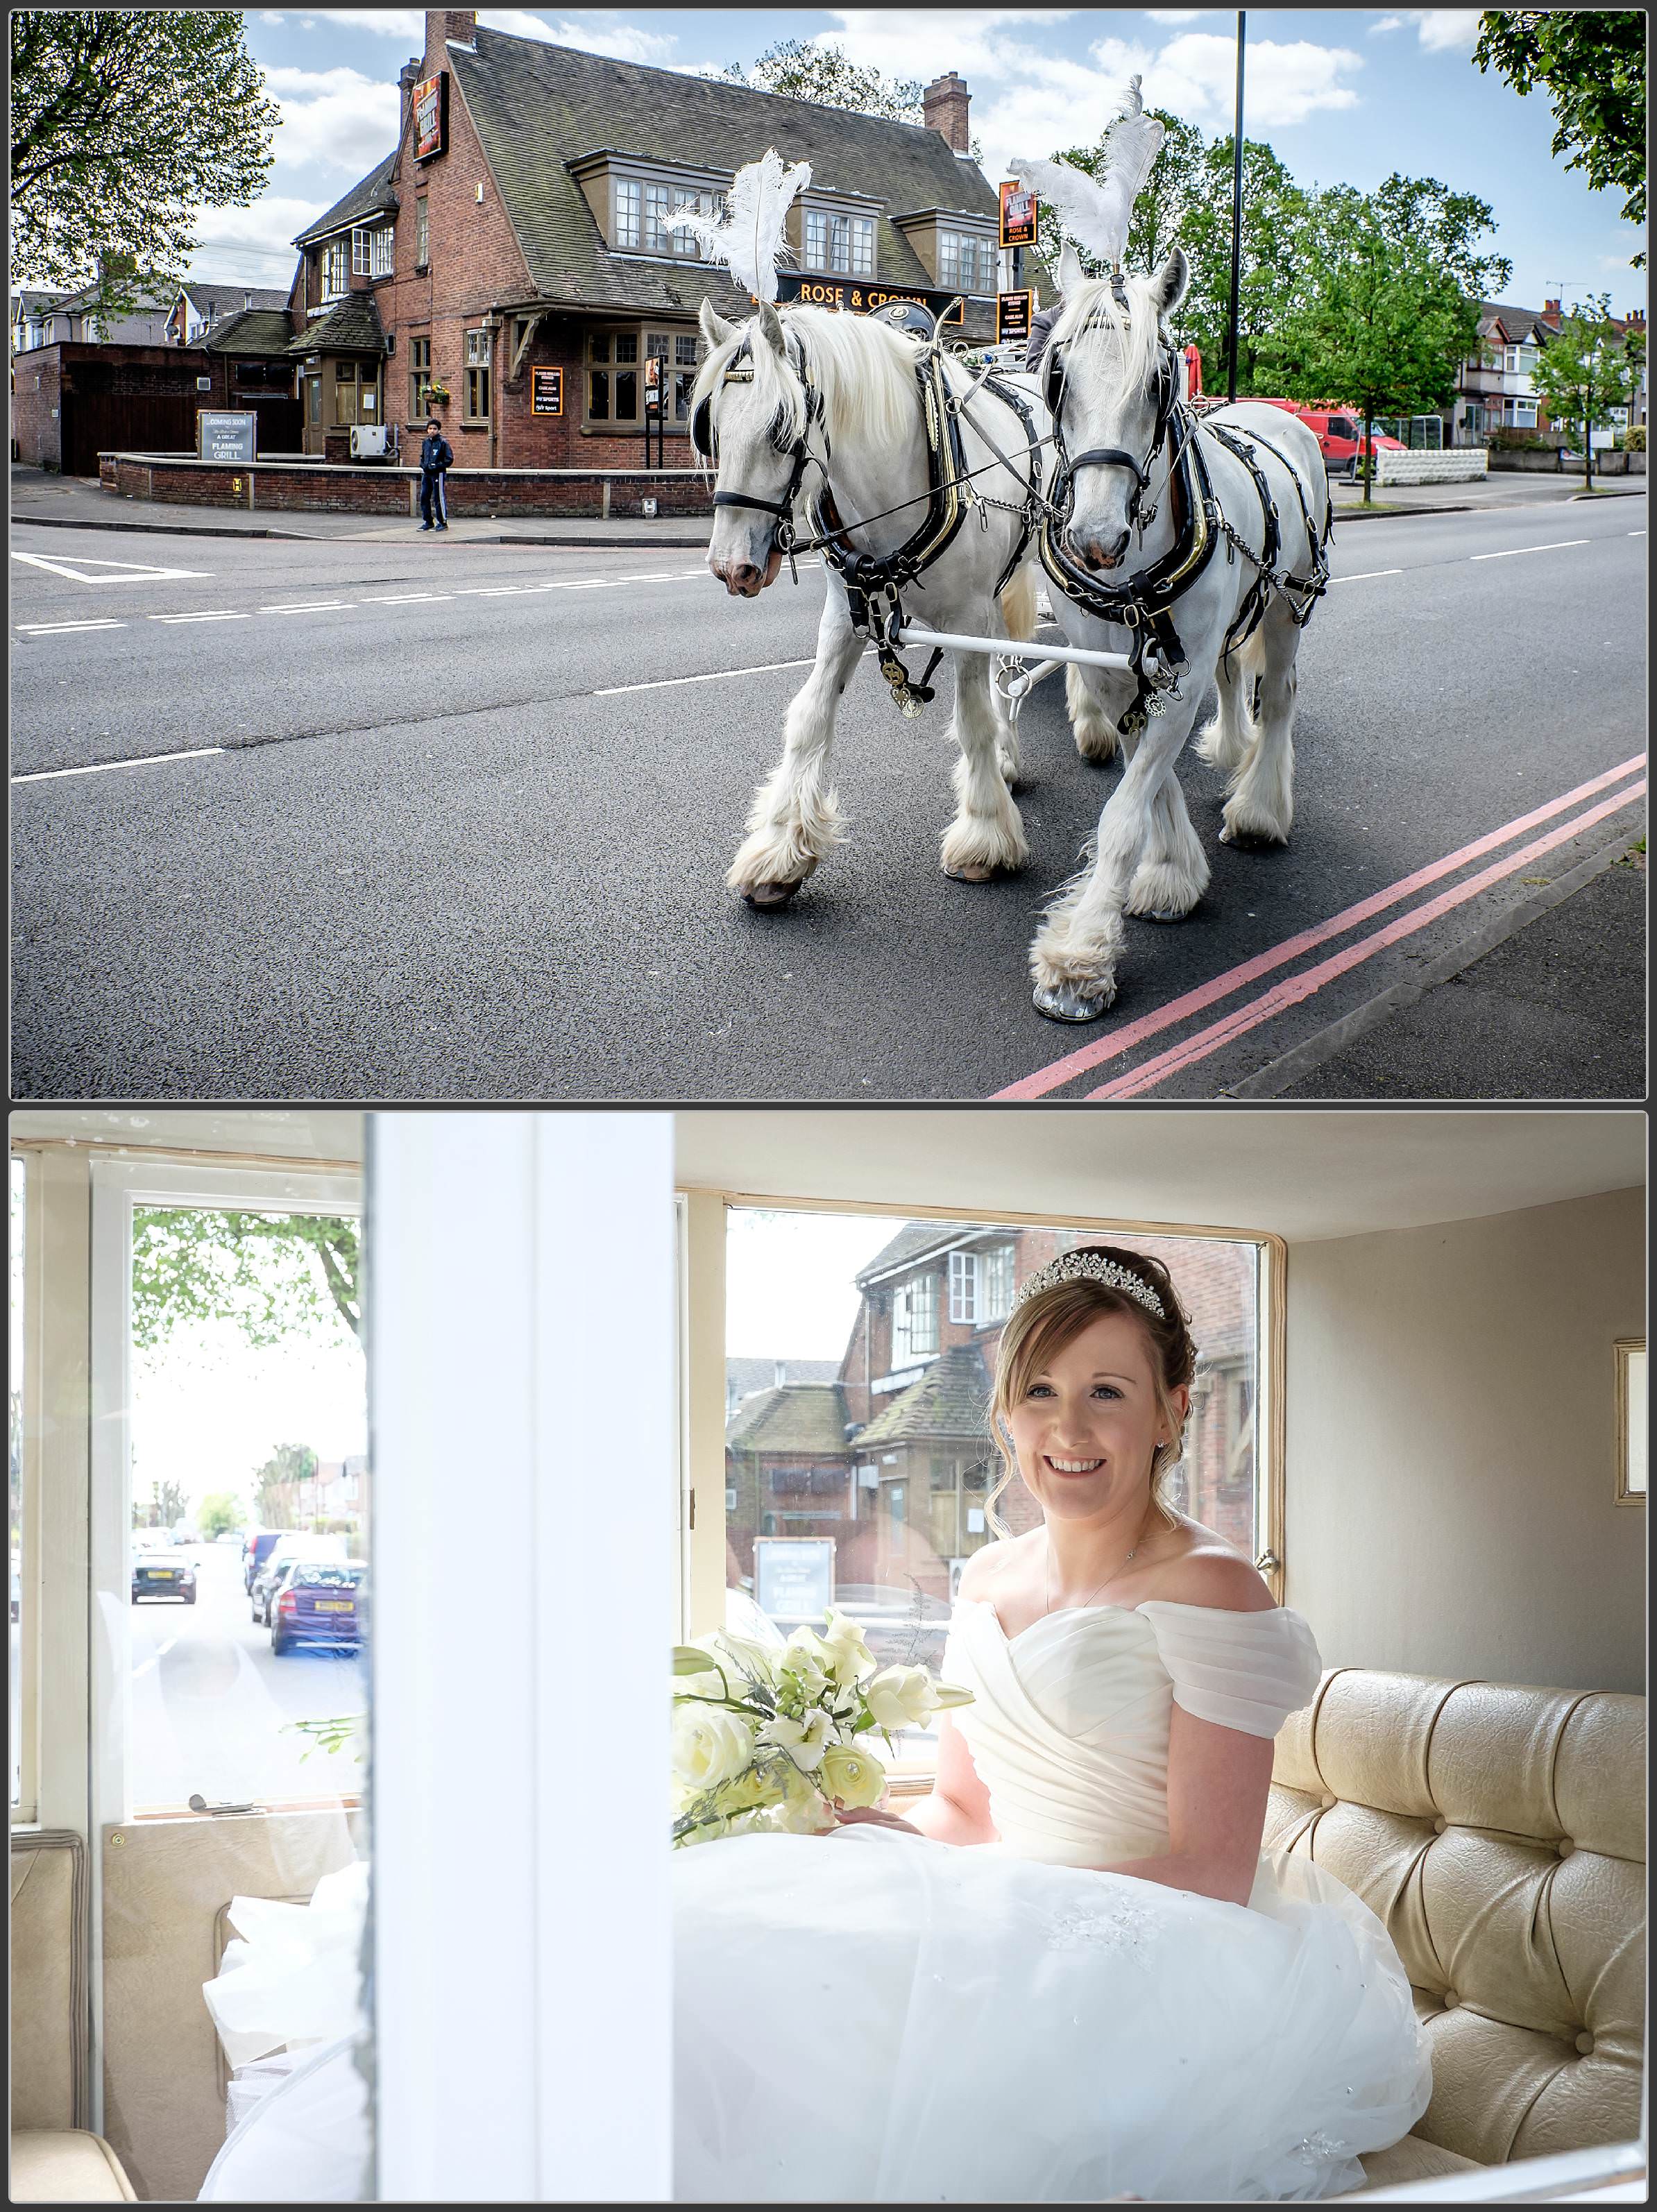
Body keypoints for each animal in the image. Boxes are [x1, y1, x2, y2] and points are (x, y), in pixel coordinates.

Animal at [686, 303, 1048, 907]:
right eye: (711, 427)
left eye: (781, 428)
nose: (732, 568)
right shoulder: (845, 615)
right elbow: (809, 715)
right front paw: (779, 851)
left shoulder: (967, 619)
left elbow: (972, 720)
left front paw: (983, 838)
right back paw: (1009, 759)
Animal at [1021, 246, 1327, 1021]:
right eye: (1057, 374)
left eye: (1159, 381)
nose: (1097, 539)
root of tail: (1266, 411)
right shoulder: (1112, 669)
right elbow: (1145, 777)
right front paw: (1170, 872)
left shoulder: (1175, 680)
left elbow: (1125, 810)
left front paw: (1078, 960)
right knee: (1233, 673)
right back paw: (1233, 750)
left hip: (1286, 605)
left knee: (1280, 695)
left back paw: (1259, 808)